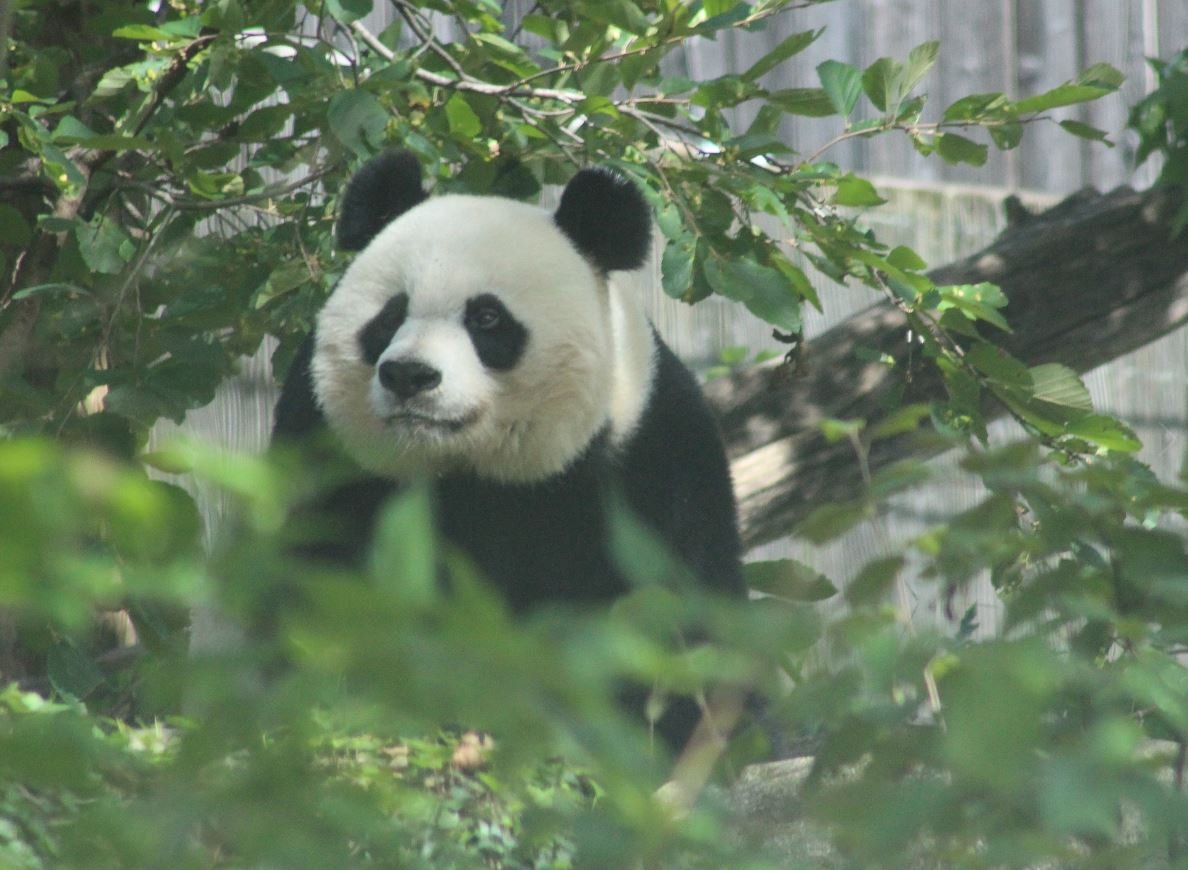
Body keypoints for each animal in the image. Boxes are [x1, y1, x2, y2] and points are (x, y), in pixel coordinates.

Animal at [273, 149, 746, 746]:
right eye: (390, 315)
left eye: (486, 318)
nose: (409, 376)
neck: (474, 472)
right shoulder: (324, 448)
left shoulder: (653, 453)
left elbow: (673, 618)